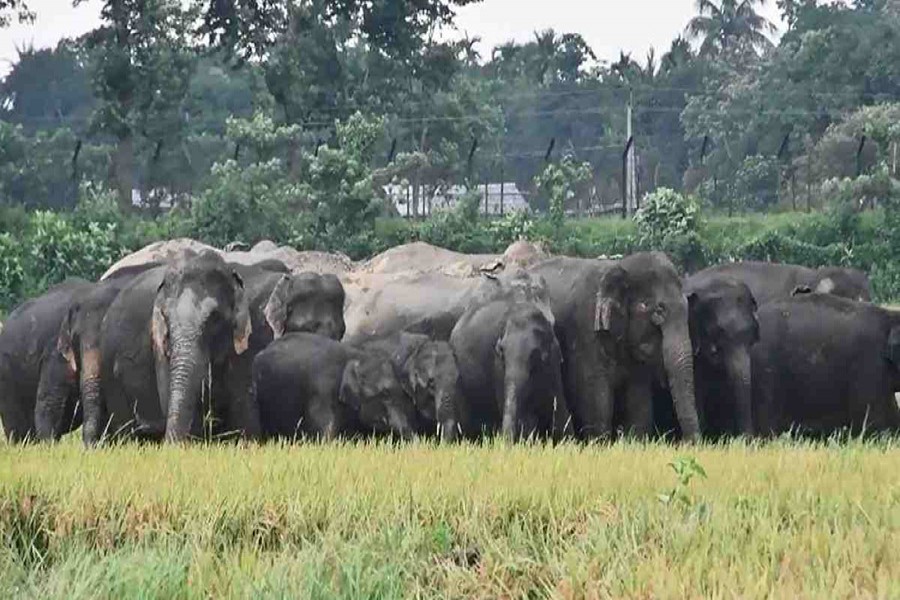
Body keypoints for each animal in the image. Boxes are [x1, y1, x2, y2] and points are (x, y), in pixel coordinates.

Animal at [529, 252, 700, 441]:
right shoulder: (585, 333)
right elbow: (597, 401)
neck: (620, 266)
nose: (687, 442)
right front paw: (600, 443)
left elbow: (639, 403)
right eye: (658, 311)